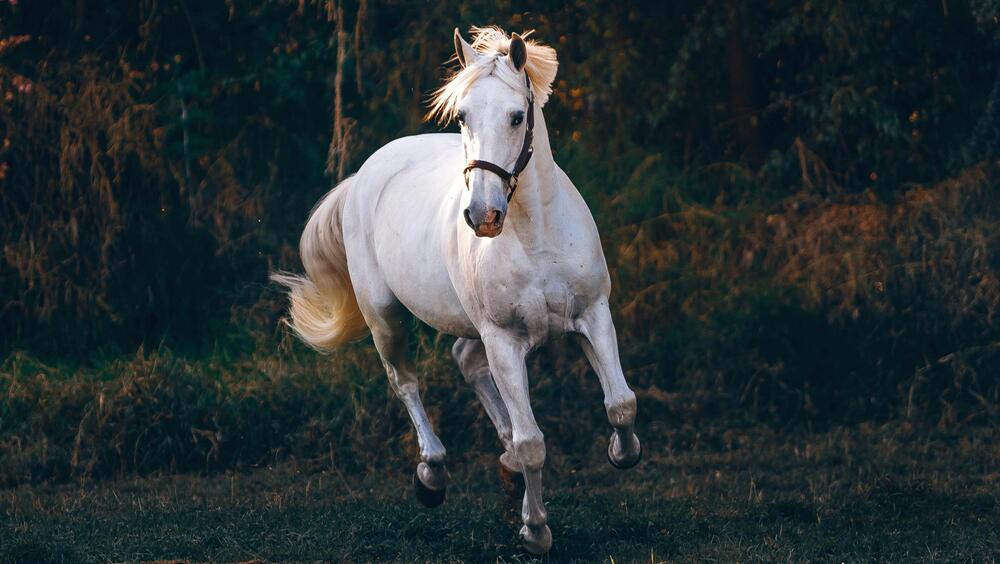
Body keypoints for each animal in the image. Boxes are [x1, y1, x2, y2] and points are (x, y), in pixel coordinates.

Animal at [274, 26, 640, 556]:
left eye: (517, 116)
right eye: (463, 115)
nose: (482, 216)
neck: (535, 235)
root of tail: (366, 173)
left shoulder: (593, 315)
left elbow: (620, 404)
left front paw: (619, 452)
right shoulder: (504, 340)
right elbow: (533, 442)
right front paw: (536, 531)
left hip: (471, 326)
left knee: (465, 360)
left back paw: (503, 466)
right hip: (385, 315)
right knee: (405, 382)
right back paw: (432, 474)